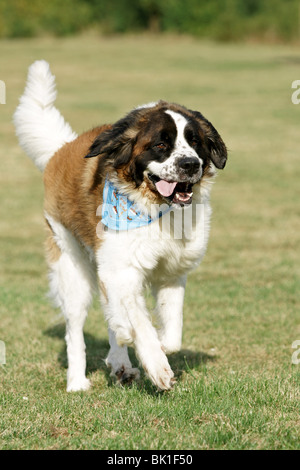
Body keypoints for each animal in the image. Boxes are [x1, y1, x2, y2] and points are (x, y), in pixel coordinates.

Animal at [12, 60, 226, 392]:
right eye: (161, 144)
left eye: (195, 143)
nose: (191, 164)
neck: (155, 207)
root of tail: (61, 150)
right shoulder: (123, 269)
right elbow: (139, 322)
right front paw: (157, 367)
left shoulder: (172, 272)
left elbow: (171, 334)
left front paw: (156, 346)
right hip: (72, 268)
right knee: (76, 330)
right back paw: (77, 381)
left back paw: (120, 360)